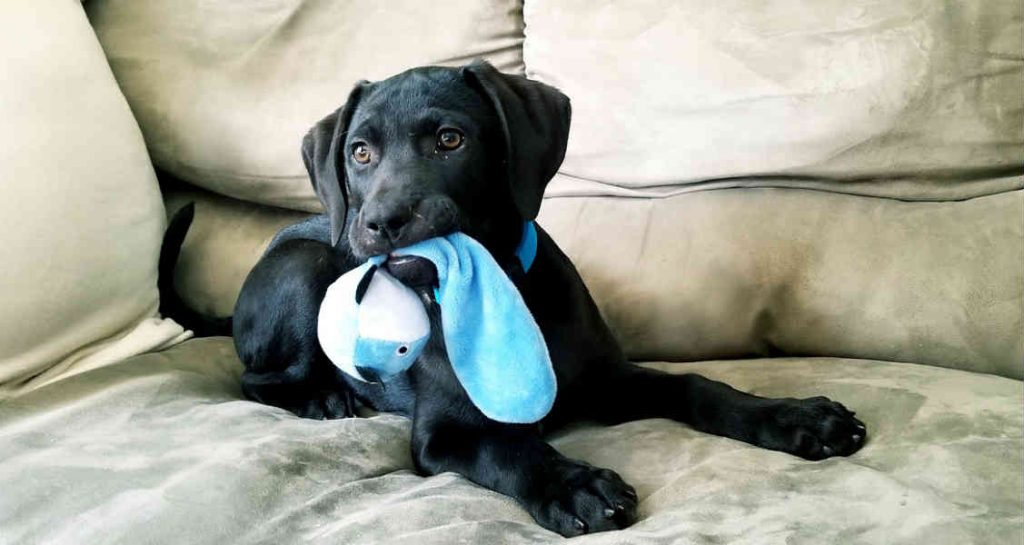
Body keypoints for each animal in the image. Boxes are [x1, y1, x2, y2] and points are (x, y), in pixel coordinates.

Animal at [163, 62, 868, 536]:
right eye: (360, 152)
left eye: (451, 139)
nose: (382, 221)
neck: (496, 294)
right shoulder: (445, 433)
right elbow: (508, 450)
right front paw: (572, 483)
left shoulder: (606, 378)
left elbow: (698, 386)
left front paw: (796, 417)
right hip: (308, 269)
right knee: (258, 378)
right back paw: (322, 396)